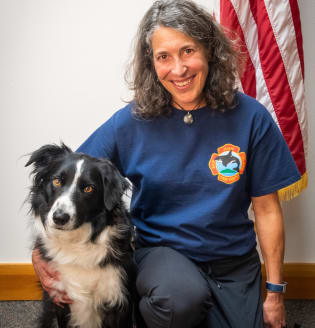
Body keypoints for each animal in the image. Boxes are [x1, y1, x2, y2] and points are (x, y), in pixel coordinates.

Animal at [25, 144, 136, 328]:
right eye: (57, 181)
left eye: (88, 188)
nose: (60, 218)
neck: (77, 243)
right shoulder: (60, 300)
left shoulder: (117, 300)